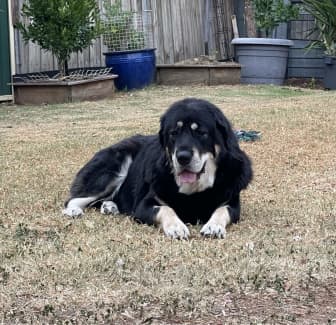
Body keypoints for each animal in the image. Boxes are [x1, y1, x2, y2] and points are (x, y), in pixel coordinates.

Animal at [63, 98, 252, 238]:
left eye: (201, 132)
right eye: (173, 133)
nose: (182, 157)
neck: (193, 191)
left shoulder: (232, 202)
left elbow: (222, 210)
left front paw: (213, 226)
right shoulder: (143, 206)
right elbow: (166, 209)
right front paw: (176, 227)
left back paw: (110, 206)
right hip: (115, 167)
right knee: (75, 198)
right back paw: (73, 210)